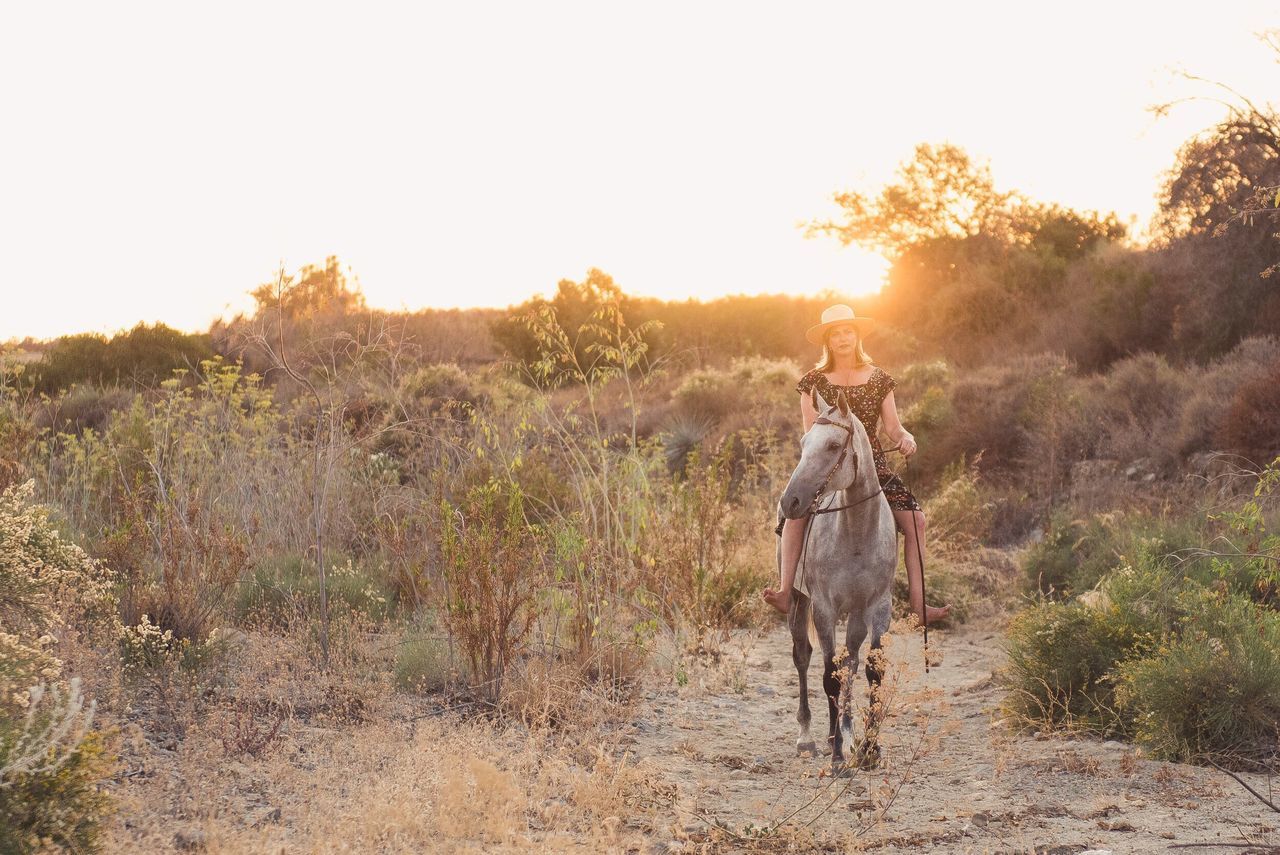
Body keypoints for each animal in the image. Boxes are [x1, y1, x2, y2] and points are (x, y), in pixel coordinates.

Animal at [773, 386, 896, 767]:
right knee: (803, 656)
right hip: (798, 602)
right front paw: (839, 756)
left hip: (854, 615)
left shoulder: (878, 606)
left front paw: (868, 747)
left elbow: (870, 672)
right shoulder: (824, 608)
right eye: (804, 442)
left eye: (831, 445)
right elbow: (828, 676)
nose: (790, 501)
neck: (856, 534)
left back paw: (844, 730)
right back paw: (811, 738)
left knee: (851, 663)